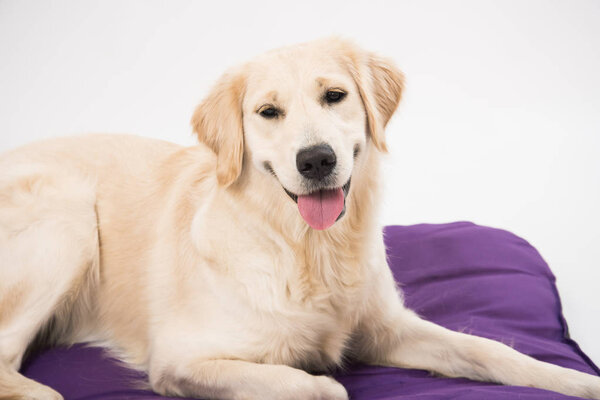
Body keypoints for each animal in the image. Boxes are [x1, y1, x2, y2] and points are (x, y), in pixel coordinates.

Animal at [1, 38, 600, 400]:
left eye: (335, 95)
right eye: (268, 112)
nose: (316, 160)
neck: (308, 249)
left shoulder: (386, 327)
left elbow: (491, 349)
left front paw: (573, 379)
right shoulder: (181, 359)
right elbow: (320, 385)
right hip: (68, 221)